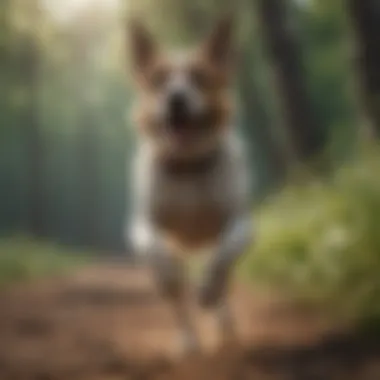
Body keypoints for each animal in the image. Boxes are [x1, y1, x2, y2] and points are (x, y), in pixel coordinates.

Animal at [126, 14, 254, 354]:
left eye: (199, 77)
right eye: (159, 79)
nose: (176, 98)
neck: (188, 167)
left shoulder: (241, 222)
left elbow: (226, 252)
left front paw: (208, 290)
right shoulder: (144, 224)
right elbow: (158, 255)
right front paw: (169, 281)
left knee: (222, 280)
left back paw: (222, 320)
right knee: (180, 305)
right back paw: (188, 339)